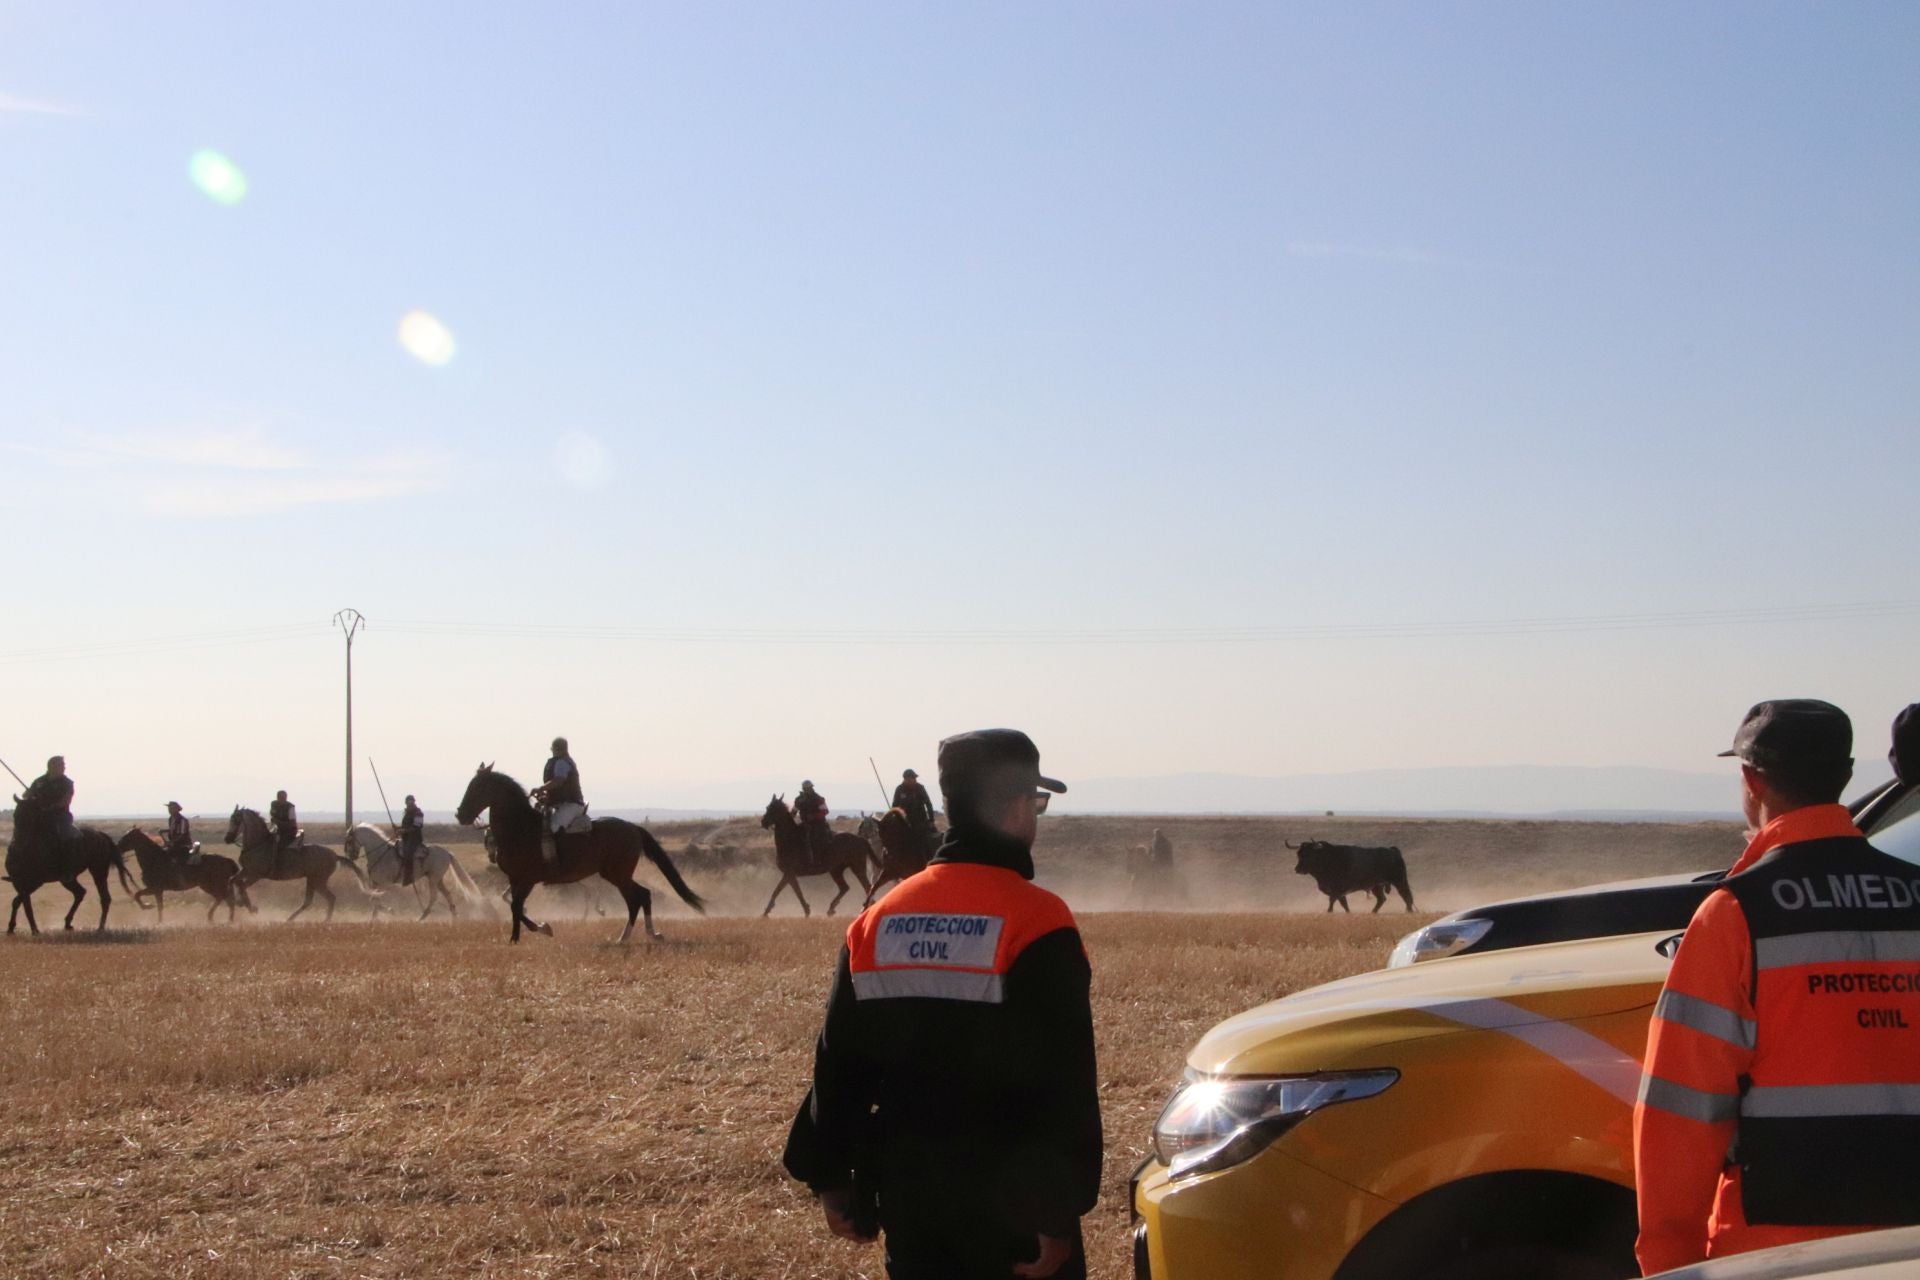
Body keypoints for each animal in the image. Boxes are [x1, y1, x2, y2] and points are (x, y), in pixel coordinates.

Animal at [6, 794, 137, 936]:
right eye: (15, 815)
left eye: (32, 816)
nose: (19, 842)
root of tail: (100, 835)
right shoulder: (19, 882)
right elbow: (19, 902)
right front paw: (12, 927)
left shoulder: (36, 882)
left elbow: (24, 903)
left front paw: (34, 930)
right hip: (69, 880)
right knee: (80, 893)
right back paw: (68, 923)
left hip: (98, 871)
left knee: (104, 897)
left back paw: (100, 927)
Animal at [115, 832, 255, 921]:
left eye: (127, 837)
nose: (117, 848)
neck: (154, 860)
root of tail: (226, 860)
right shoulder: (157, 890)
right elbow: (154, 903)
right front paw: (157, 918)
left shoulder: (155, 889)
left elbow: (139, 896)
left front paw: (148, 907)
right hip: (213, 885)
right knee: (226, 899)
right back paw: (224, 919)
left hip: (211, 885)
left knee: (225, 898)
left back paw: (215, 918)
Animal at [222, 809, 368, 921]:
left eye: (236, 821)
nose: (228, 838)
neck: (257, 844)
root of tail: (334, 855)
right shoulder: (246, 870)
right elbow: (233, 880)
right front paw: (240, 902)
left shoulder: (256, 875)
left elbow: (242, 885)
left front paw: (250, 907)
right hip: (312, 880)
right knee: (310, 901)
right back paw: (291, 919)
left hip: (318, 880)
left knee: (329, 898)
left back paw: (323, 921)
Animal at [341, 821, 487, 921]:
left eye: (349, 840)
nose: (351, 856)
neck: (380, 853)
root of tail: (447, 853)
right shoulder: (375, 884)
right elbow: (374, 900)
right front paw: (373, 920)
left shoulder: (384, 884)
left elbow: (375, 900)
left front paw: (390, 911)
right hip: (438, 879)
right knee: (447, 894)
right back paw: (454, 917)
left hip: (433, 878)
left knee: (434, 897)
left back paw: (422, 916)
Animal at [453, 767, 710, 948]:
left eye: (477, 788)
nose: (460, 814)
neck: (520, 828)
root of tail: (633, 828)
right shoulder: (515, 879)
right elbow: (514, 906)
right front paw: (527, 932)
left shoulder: (527, 879)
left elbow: (516, 906)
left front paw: (533, 932)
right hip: (615, 875)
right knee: (639, 897)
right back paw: (639, 935)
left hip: (617, 874)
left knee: (638, 897)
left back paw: (633, 935)